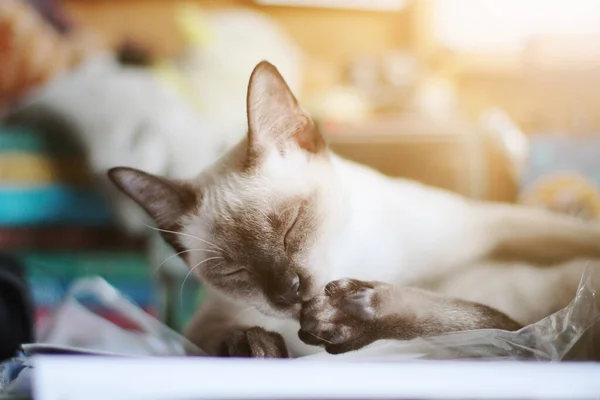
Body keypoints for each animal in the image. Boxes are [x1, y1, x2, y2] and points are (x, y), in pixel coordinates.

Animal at [109, 61, 600, 356]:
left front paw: (343, 314)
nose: (288, 292)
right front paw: (256, 346)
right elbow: (212, 341)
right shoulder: (206, 325)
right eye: (235, 271)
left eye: (291, 226)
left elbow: (490, 313)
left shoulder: (495, 229)